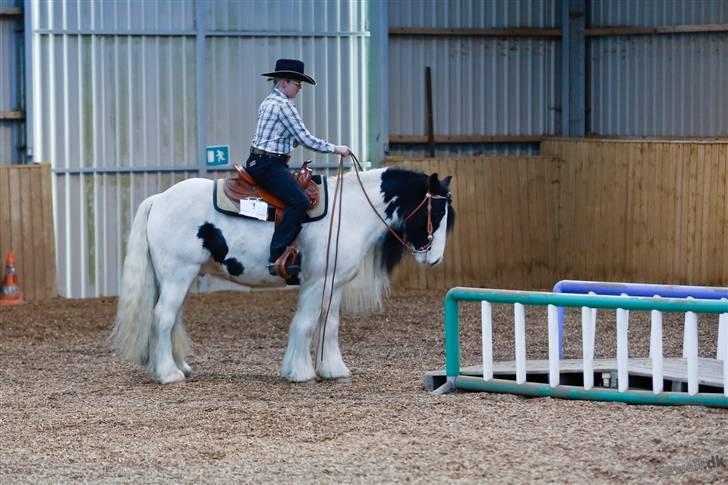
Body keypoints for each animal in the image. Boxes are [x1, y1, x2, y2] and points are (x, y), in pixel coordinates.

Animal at [109, 164, 456, 384]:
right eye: (437, 211)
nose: (436, 258)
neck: (349, 211)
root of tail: (159, 200)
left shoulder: (334, 283)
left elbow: (329, 325)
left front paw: (333, 369)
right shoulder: (317, 282)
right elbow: (304, 324)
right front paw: (300, 372)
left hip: (175, 278)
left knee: (170, 319)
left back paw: (176, 365)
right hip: (178, 275)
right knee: (163, 317)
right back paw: (169, 375)